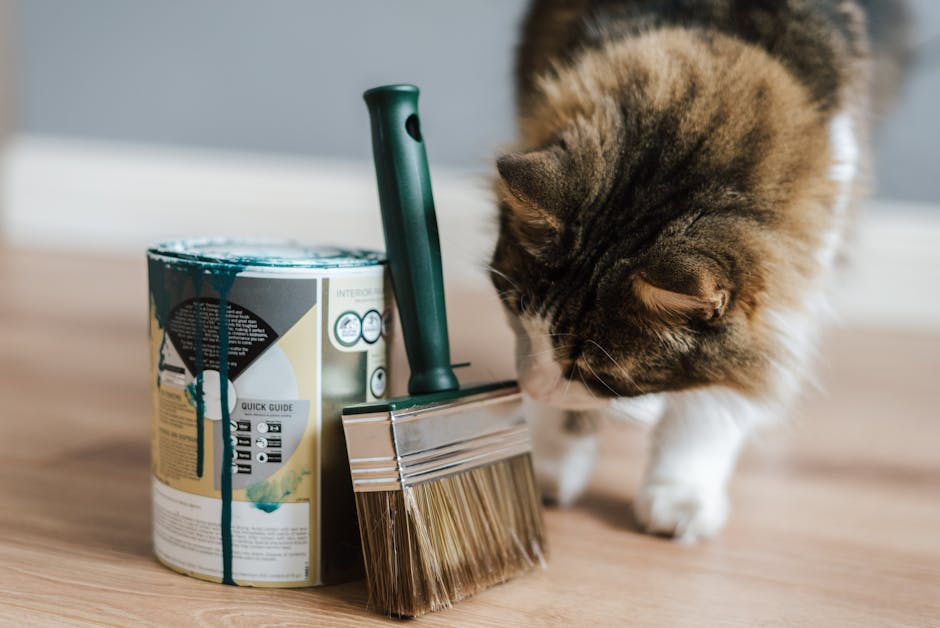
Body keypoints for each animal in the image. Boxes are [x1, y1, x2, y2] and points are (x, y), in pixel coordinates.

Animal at [492, 0, 912, 544]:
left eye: (595, 372)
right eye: (515, 311)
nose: (528, 388)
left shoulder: (805, 261)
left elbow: (717, 394)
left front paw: (680, 495)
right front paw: (547, 462)